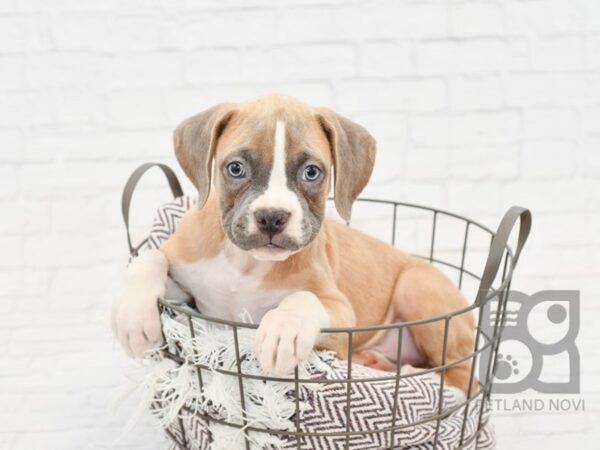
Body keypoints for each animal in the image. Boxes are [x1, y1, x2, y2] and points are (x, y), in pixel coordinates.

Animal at [112, 94, 476, 394]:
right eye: (236, 168)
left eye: (312, 172)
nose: (272, 217)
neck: (246, 265)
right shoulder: (190, 296)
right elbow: (150, 257)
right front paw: (133, 317)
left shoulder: (341, 310)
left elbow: (305, 297)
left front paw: (284, 329)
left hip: (416, 285)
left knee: (465, 377)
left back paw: (420, 376)